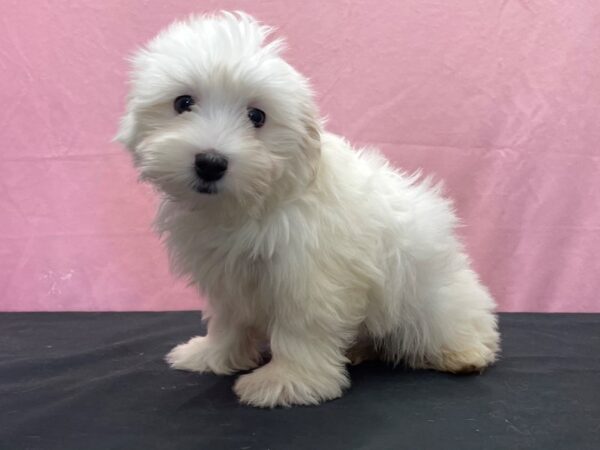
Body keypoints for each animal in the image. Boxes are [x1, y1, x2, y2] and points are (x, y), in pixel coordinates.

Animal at [116, 13, 496, 408]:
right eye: (183, 102)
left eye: (257, 116)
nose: (210, 162)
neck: (248, 205)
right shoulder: (226, 275)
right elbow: (228, 320)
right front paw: (212, 355)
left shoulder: (307, 276)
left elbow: (300, 329)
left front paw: (286, 380)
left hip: (433, 299)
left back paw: (463, 353)